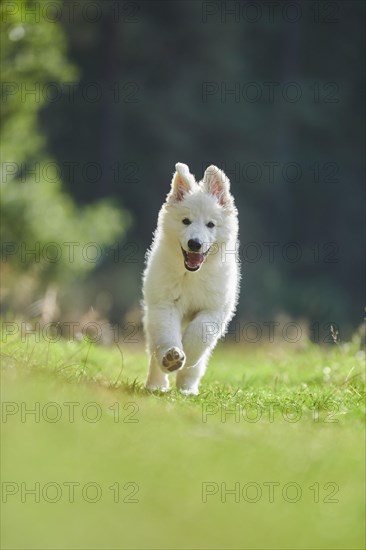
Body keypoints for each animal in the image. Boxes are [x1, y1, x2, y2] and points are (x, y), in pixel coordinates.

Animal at [143, 164, 240, 396]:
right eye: (185, 221)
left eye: (210, 225)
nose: (195, 243)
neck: (192, 274)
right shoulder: (165, 304)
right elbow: (167, 334)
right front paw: (172, 357)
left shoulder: (214, 309)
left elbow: (198, 335)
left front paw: (186, 356)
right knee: (154, 349)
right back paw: (157, 383)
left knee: (198, 363)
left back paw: (187, 388)